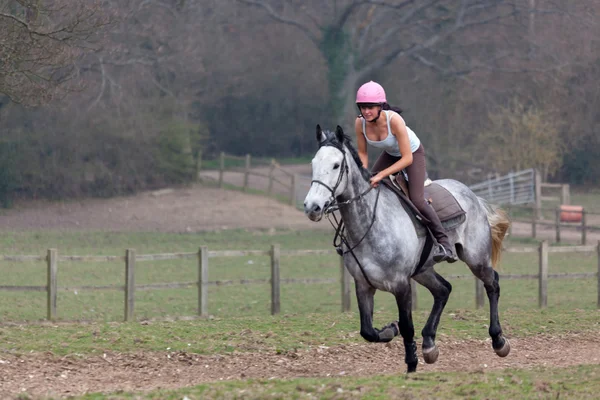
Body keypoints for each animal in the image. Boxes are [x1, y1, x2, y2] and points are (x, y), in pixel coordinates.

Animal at [304, 124, 510, 372]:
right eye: (313, 163)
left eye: (336, 165)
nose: (312, 207)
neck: (371, 223)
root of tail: (473, 196)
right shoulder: (363, 285)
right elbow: (368, 331)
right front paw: (389, 330)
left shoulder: (401, 284)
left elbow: (407, 326)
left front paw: (411, 364)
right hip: (423, 270)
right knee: (443, 290)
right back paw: (429, 344)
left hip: (476, 259)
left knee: (492, 284)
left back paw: (498, 340)